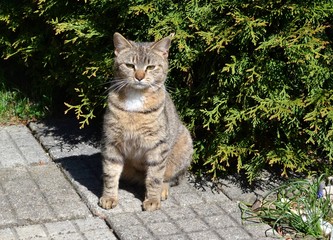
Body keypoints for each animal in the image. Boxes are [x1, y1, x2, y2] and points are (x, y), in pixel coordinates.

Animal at [98, 32, 192, 211]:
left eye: (150, 67)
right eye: (130, 65)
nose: (139, 77)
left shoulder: (158, 146)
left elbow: (155, 176)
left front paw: (152, 200)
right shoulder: (112, 142)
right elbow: (110, 173)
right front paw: (109, 197)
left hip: (184, 144)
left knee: (167, 177)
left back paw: (162, 189)